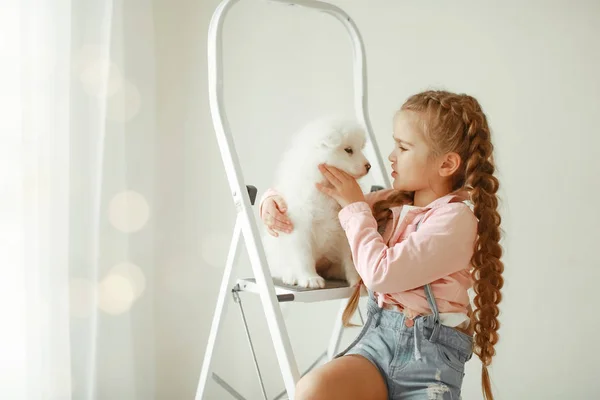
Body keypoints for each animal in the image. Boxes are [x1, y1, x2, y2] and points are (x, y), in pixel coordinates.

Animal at [262, 115, 370, 288]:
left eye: (360, 148)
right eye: (348, 150)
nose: (369, 166)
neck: (325, 188)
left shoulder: (344, 229)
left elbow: (351, 257)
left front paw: (357, 281)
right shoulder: (301, 227)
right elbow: (304, 256)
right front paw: (310, 278)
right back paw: (291, 276)